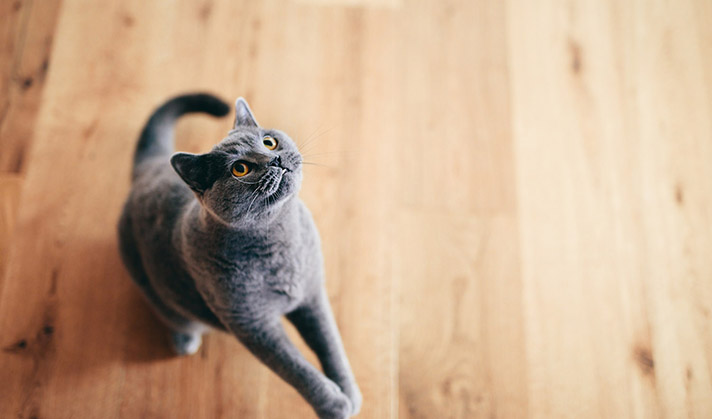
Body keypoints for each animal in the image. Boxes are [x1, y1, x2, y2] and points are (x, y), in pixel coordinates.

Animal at [119, 93, 362, 418]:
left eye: (269, 142)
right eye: (240, 169)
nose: (274, 159)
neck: (279, 241)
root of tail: (150, 168)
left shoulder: (312, 293)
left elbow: (330, 343)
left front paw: (349, 391)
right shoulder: (252, 323)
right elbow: (296, 369)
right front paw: (335, 405)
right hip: (149, 280)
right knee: (174, 315)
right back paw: (184, 339)